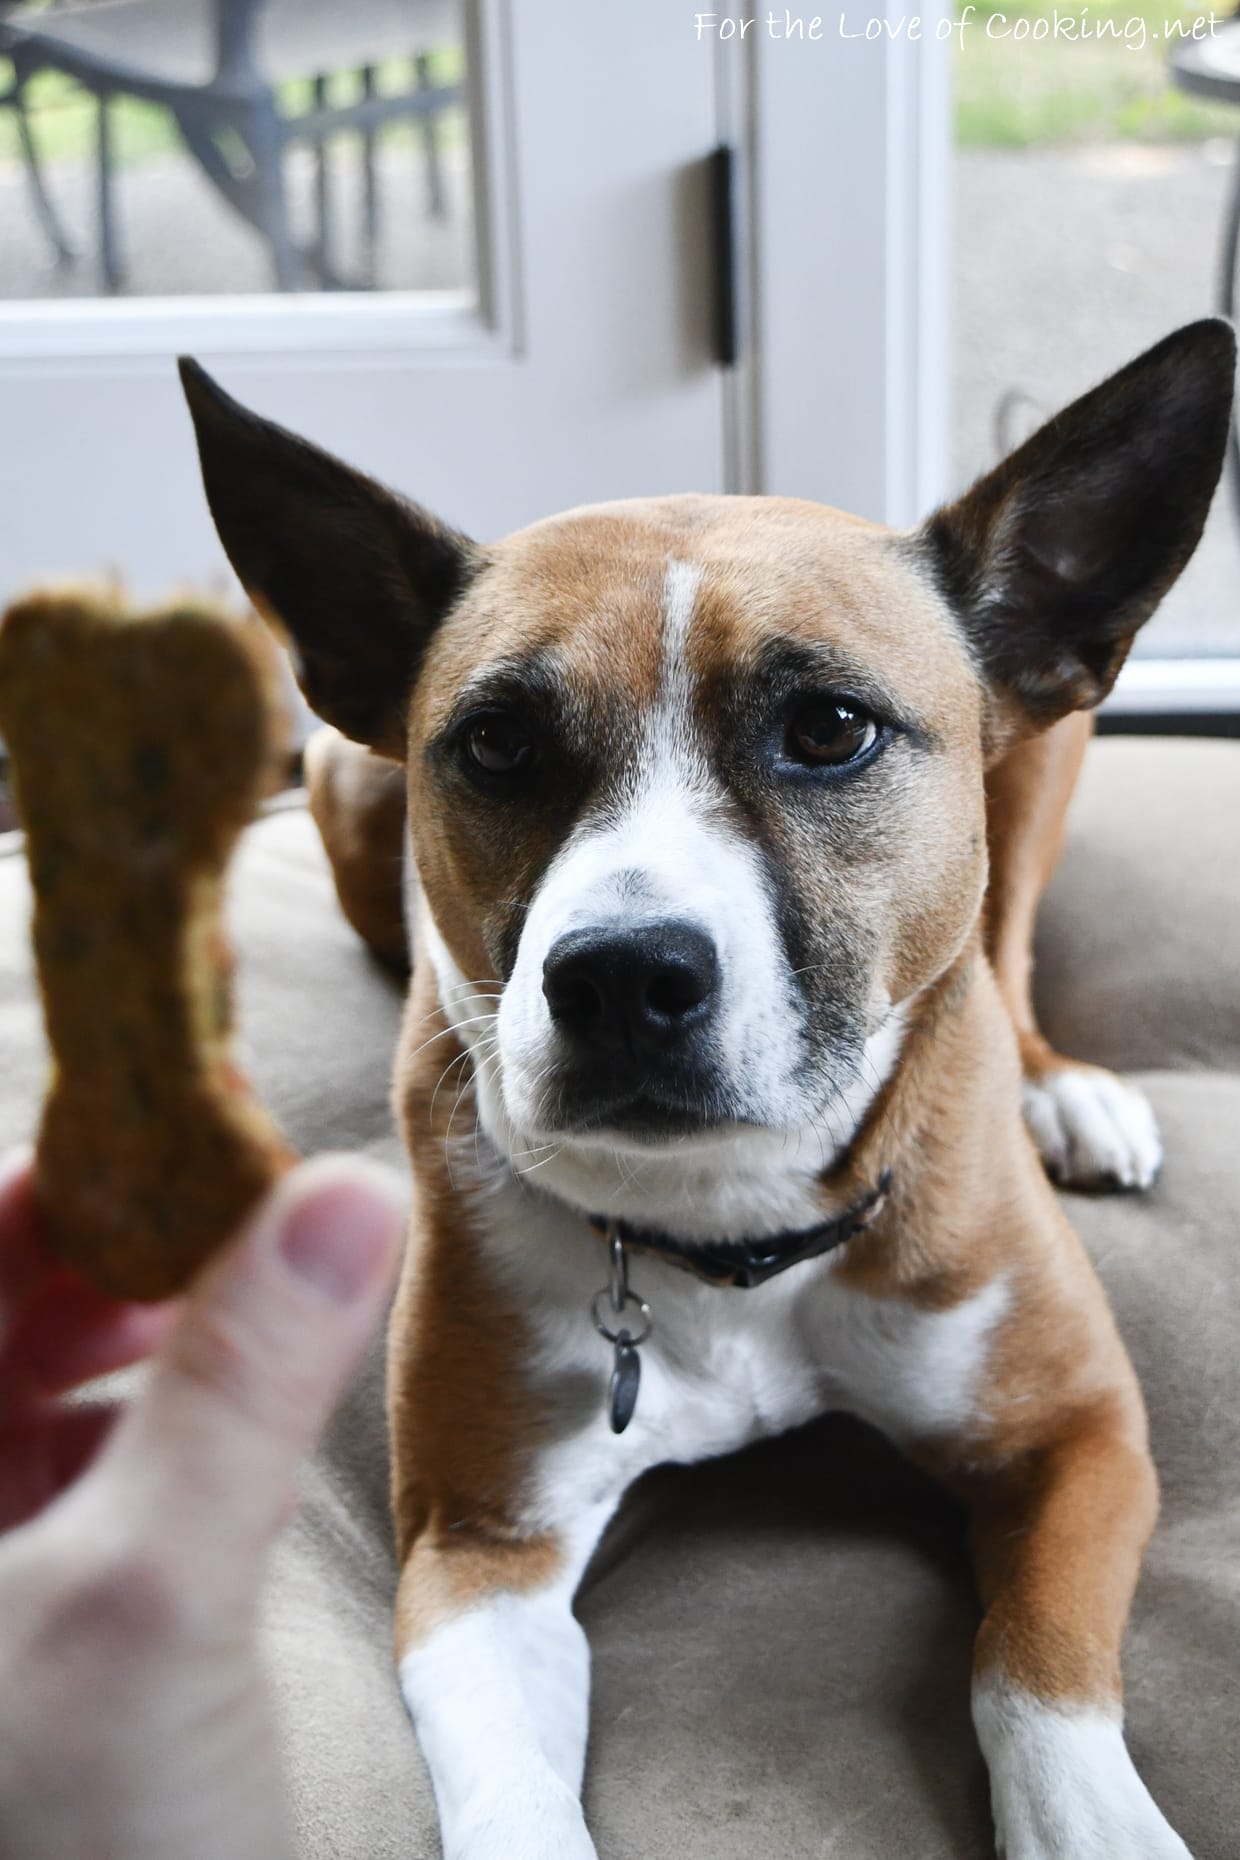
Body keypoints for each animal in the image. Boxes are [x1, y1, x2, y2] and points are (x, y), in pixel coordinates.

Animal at [179, 319, 1234, 1860]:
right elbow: (511, 1798)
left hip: (1043, 751)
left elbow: (1032, 1667)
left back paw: (1062, 1090)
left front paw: (1094, 1823)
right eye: (497, 745)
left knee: (1006, 944)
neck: (726, 1222)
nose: (621, 977)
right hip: (345, 788)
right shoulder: (479, 1548)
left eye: (832, 728)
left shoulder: (1081, 1437)